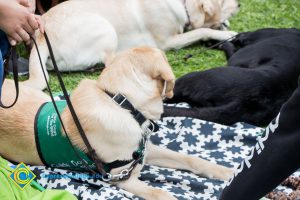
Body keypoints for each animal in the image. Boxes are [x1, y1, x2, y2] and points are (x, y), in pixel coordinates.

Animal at [0, 47, 232, 200]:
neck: (122, 103)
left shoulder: (145, 151)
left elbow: (189, 158)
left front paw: (224, 172)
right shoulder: (123, 178)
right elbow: (162, 194)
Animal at [25, 0, 239, 90]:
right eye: (223, 1)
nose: (239, 4)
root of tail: (42, 33)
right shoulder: (168, 41)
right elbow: (201, 30)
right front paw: (226, 33)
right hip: (106, 28)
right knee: (110, 64)